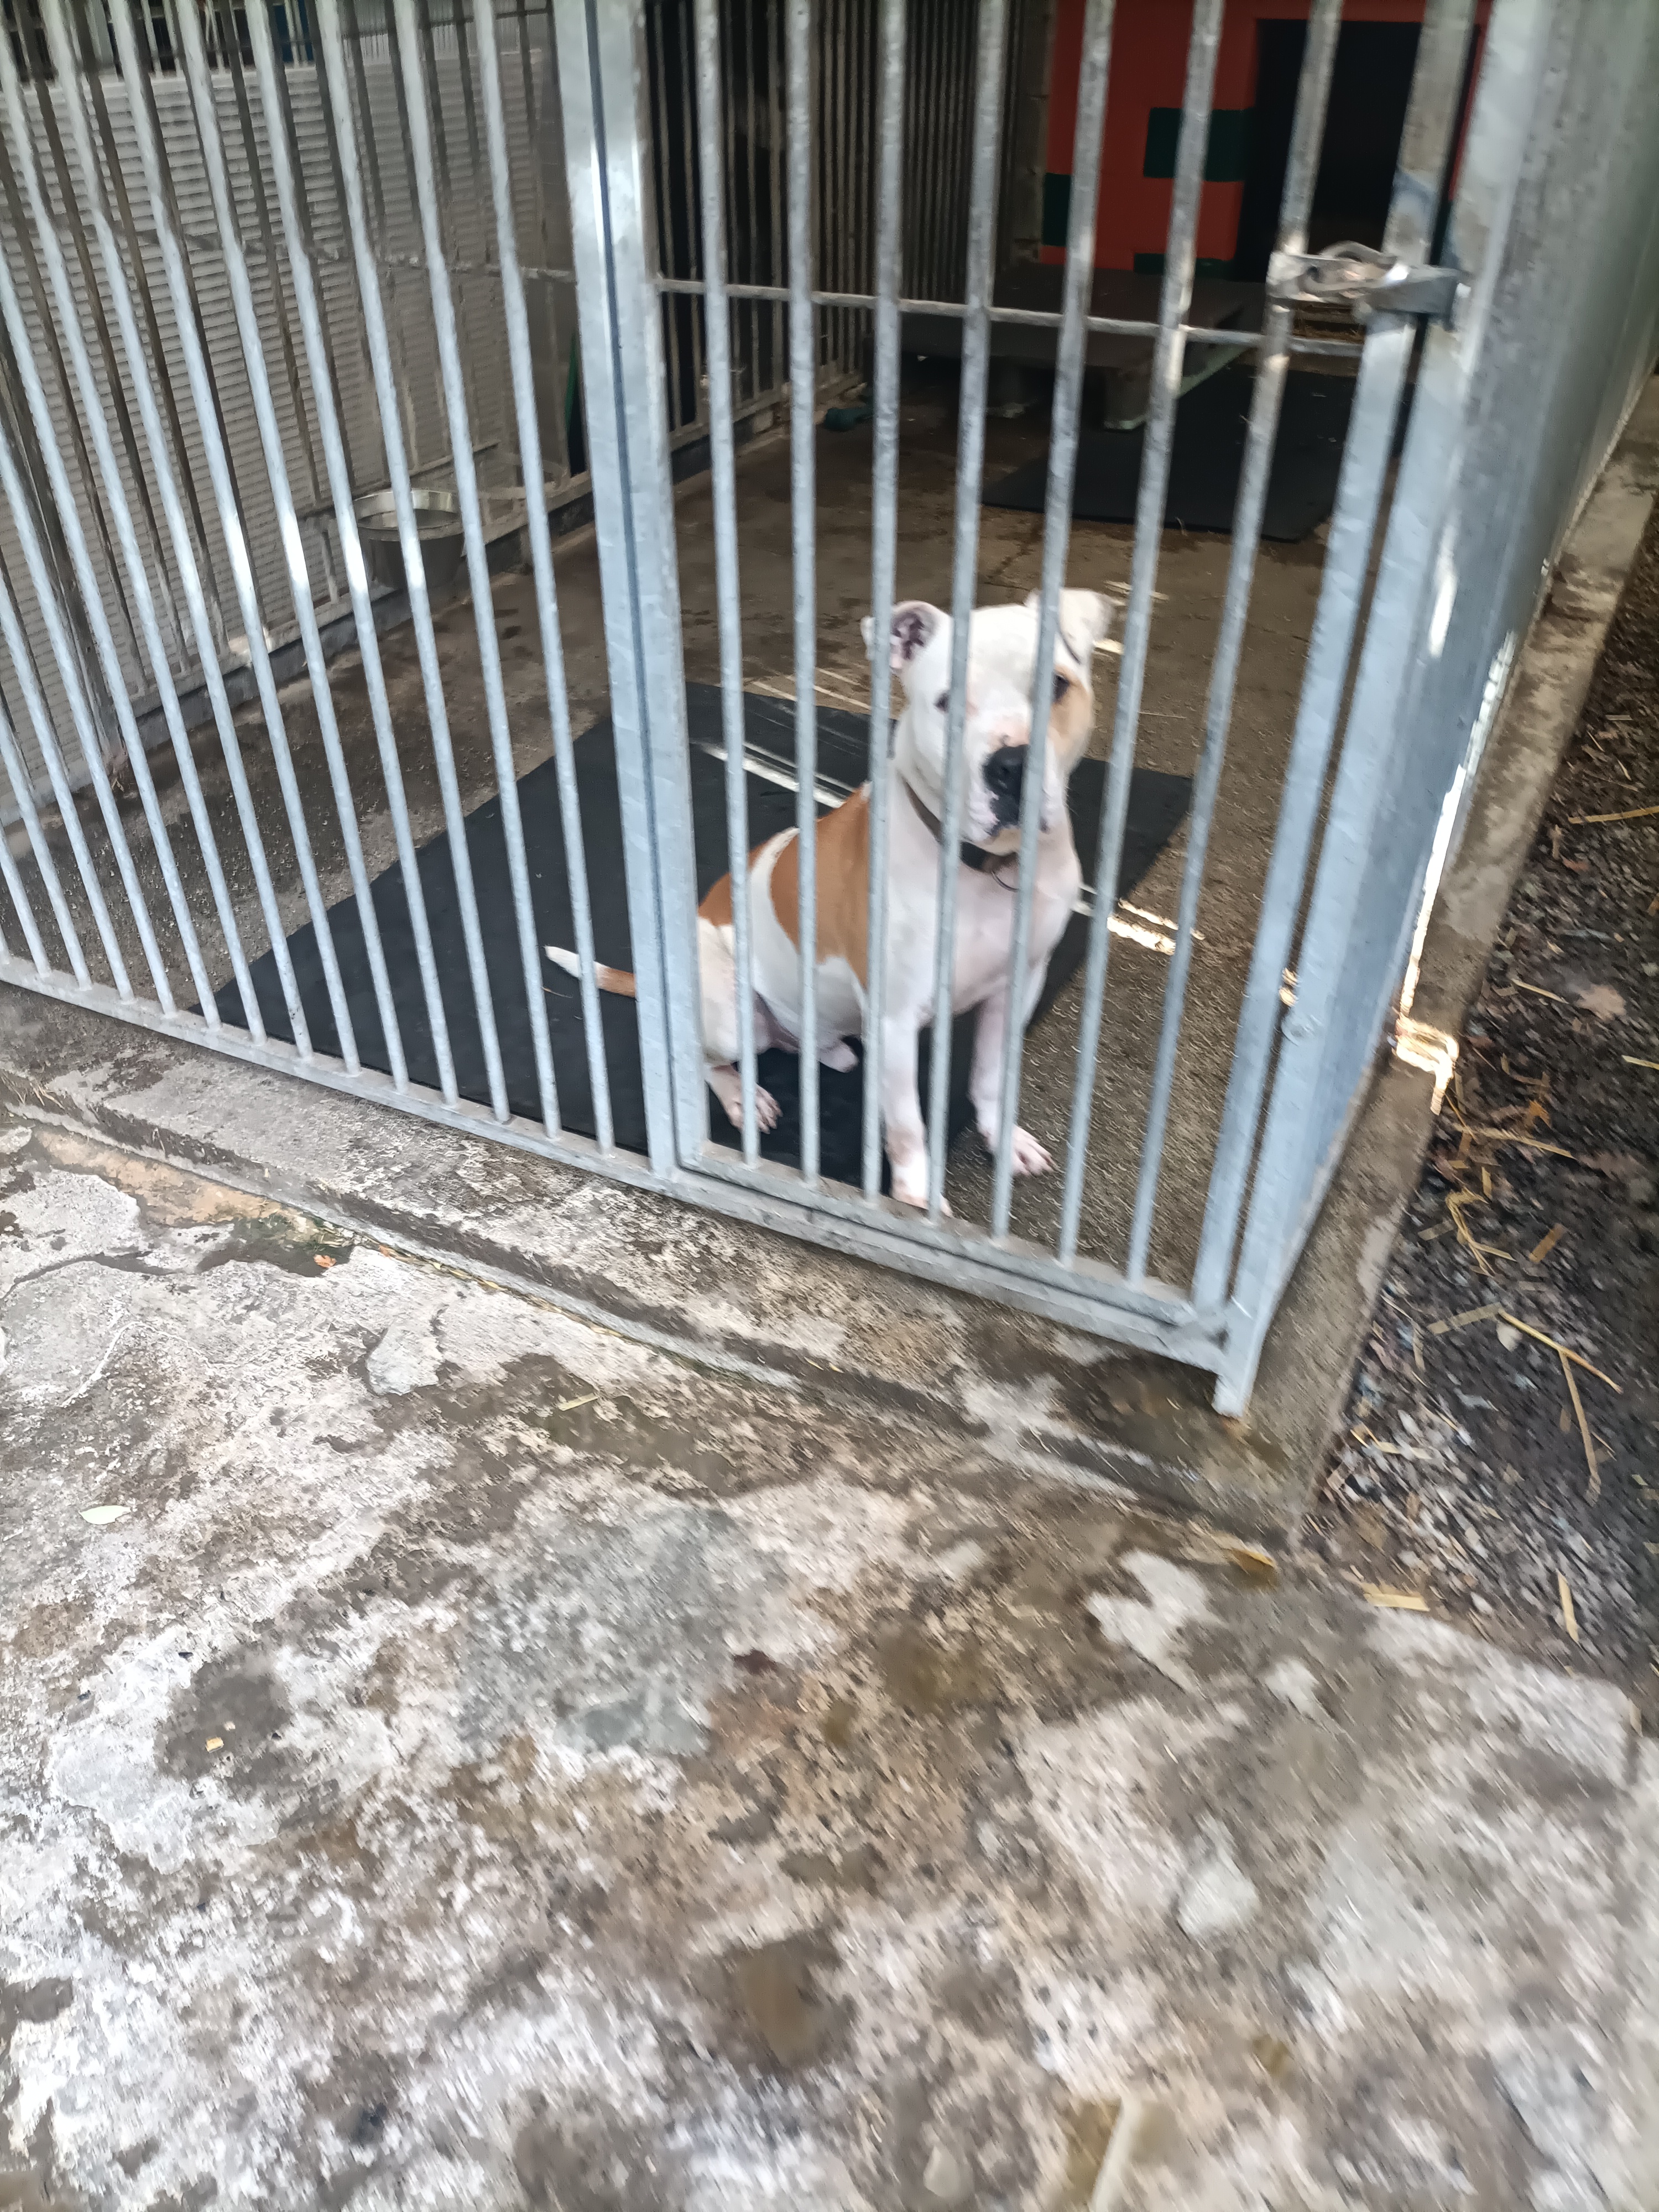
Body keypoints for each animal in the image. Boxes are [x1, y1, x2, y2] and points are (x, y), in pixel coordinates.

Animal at [546, 587, 1115, 1206]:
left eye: (1057, 685)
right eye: (947, 701)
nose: (1012, 765)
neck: (987, 867)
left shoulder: (1019, 986)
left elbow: (991, 1078)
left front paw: (1003, 1140)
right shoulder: (894, 1018)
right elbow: (909, 1127)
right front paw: (918, 1202)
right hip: (731, 1017)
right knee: (702, 1061)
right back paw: (744, 1096)